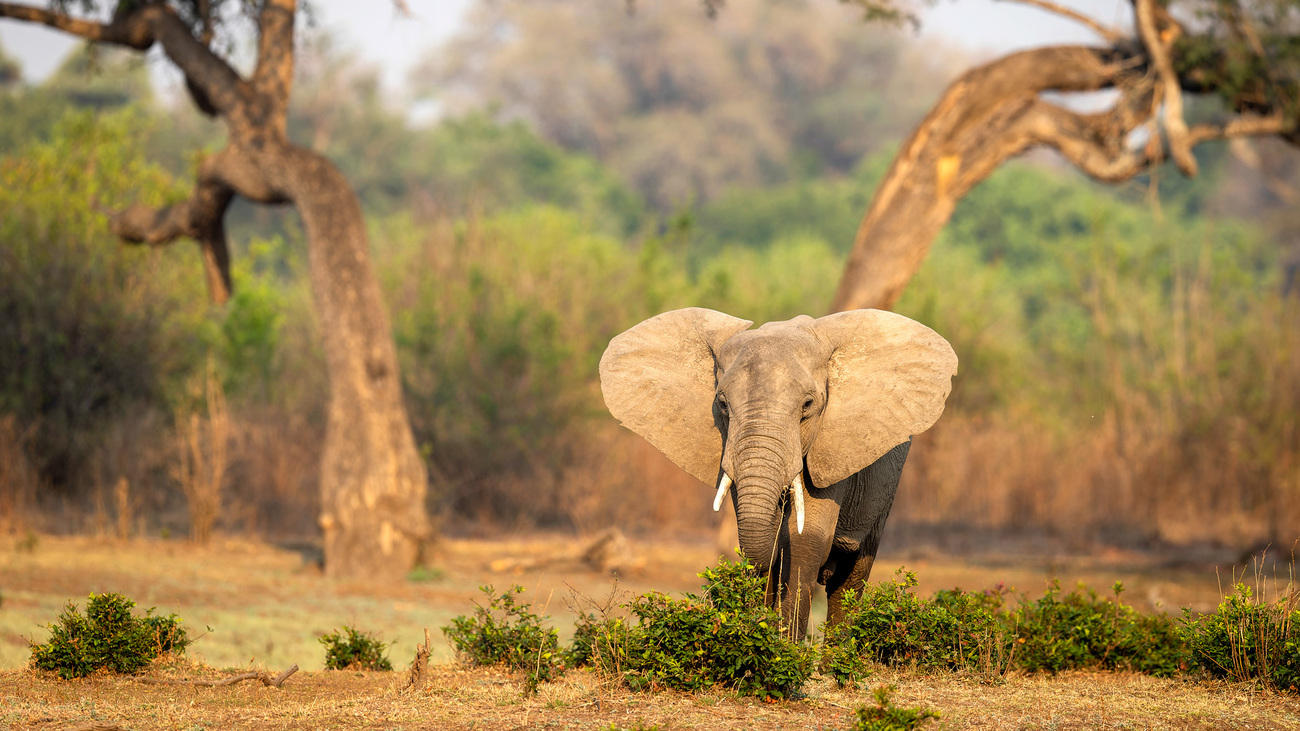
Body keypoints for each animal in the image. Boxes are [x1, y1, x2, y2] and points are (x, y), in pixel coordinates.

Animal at [599, 307, 957, 640]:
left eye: (808, 406)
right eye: (722, 404)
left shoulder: (831, 449)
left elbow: (804, 540)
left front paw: (786, 650)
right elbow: (765, 541)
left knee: (850, 579)